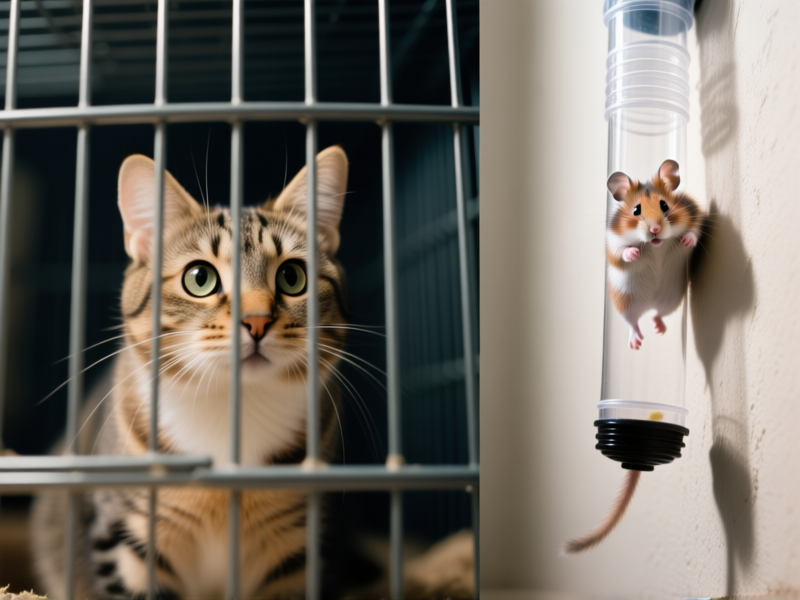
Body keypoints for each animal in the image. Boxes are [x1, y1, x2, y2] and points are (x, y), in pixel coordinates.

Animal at [605, 159, 703, 350]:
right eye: (636, 209)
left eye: (664, 205)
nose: (655, 229)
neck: (655, 246)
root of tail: (649, 304)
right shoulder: (612, 243)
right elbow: (621, 252)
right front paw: (634, 253)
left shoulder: (695, 215)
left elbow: (693, 232)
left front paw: (686, 241)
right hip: (625, 304)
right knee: (633, 323)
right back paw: (636, 344)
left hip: (671, 299)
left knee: (658, 314)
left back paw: (659, 329)